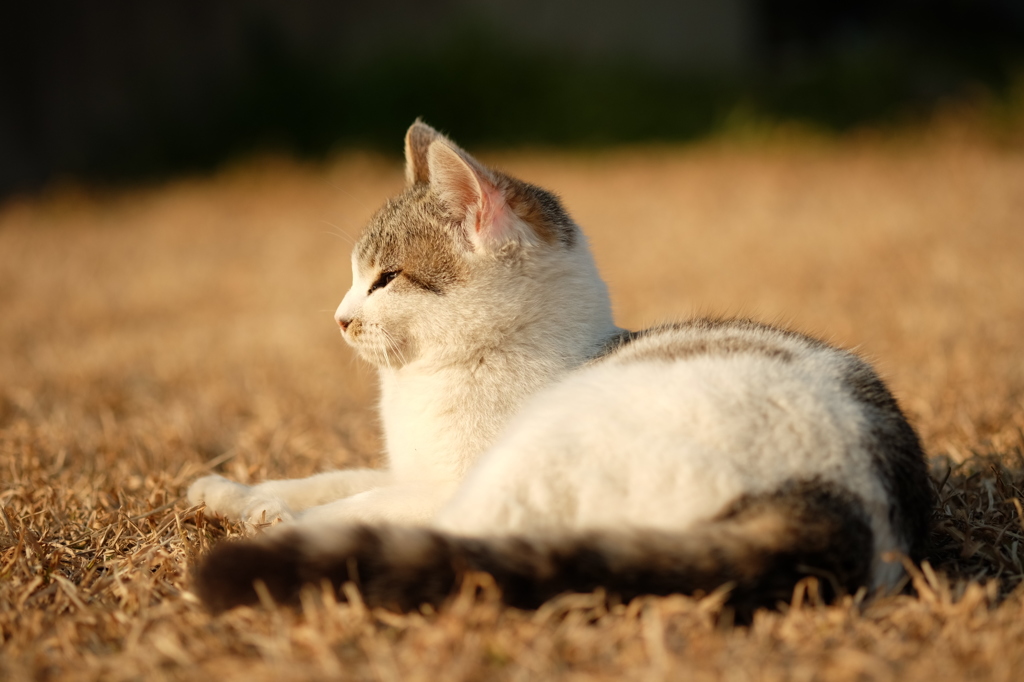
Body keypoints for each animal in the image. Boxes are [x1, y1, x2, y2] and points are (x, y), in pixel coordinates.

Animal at [186, 119, 937, 614]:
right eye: (353, 276)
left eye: (387, 279)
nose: (339, 318)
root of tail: (843, 506)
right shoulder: (408, 469)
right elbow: (329, 479)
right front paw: (237, 493)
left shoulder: (446, 480)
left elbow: (358, 502)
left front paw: (268, 517)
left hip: (547, 451)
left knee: (454, 528)